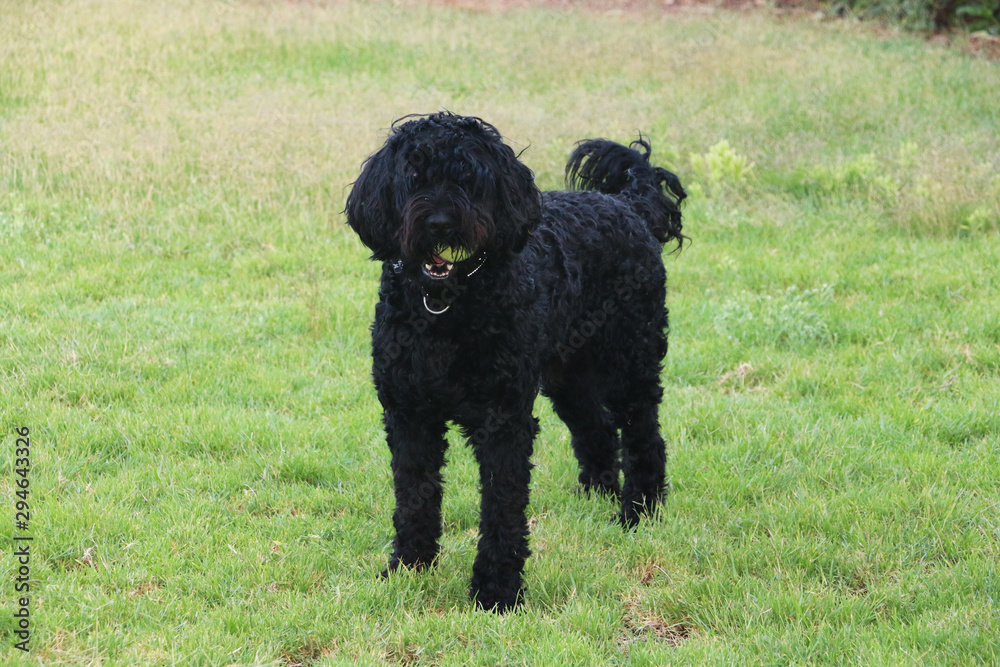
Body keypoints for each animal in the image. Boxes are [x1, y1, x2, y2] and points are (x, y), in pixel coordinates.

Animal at [346, 112, 688, 612]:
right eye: (413, 175)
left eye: (470, 178)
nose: (440, 222)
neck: (445, 309)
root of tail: (626, 204)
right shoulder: (409, 416)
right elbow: (413, 497)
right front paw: (408, 567)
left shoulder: (504, 422)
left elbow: (502, 508)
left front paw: (497, 591)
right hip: (570, 376)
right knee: (598, 430)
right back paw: (593, 498)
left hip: (631, 362)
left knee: (644, 437)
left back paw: (638, 512)